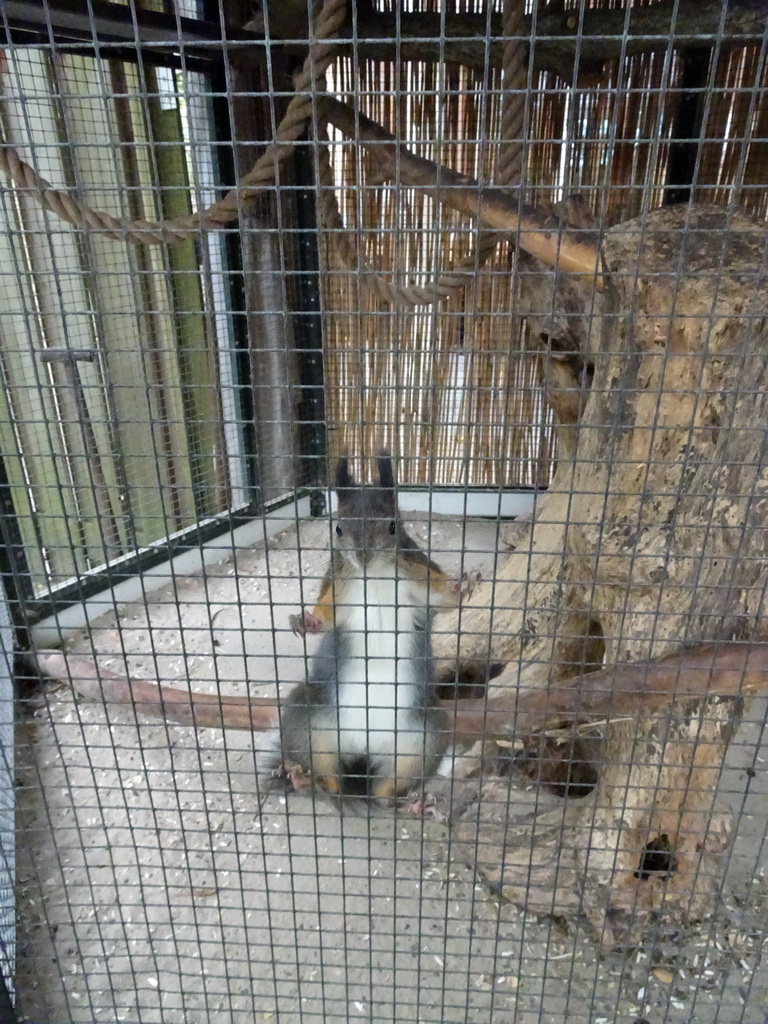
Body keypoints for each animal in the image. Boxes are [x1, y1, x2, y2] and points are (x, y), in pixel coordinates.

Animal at [260, 452, 481, 802]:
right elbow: (327, 615)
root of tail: (362, 750)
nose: (362, 556)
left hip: (425, 736)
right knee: (326, 775)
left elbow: (443, 598)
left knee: (388, 787)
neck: (373, 575)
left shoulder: (417, 577)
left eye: (392, 526)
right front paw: (307, 621)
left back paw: (412, 801)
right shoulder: (340, 589)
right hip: (306, 719)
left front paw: (463, 584)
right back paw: (303, 778)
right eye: (338, 527)